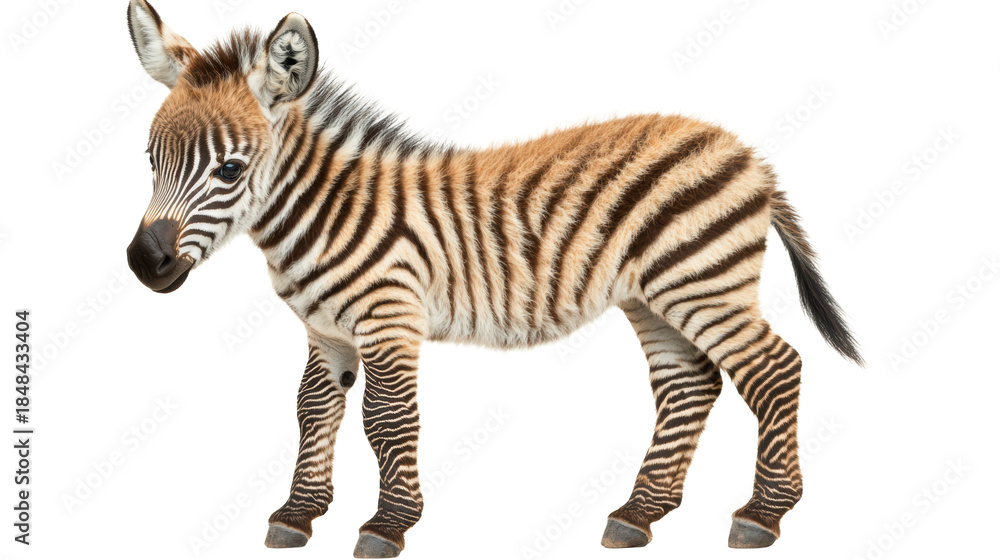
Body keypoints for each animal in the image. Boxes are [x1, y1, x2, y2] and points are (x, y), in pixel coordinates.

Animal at [123, 1, 863, 557]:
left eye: (230, 170)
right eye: (151, 159)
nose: (144, 265)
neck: (326, 211)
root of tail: (746, 153)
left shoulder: (390, 318)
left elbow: (387, 418)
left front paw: (387, 525)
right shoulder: (326, 331)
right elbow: (312, 410)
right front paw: (298, 514)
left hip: (703, 283)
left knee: (774, 370)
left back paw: (763, 515)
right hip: (653, 296)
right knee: (691, 384)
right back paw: (639, 514)